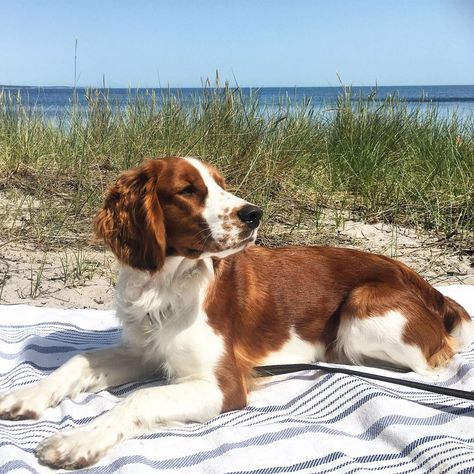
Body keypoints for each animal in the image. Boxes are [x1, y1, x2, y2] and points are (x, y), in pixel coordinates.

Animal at [0, 157, 472, 468]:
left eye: (221, 183)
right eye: (188, 189)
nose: (253, 213)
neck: (166, 284)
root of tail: (429, 287)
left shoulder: (223, 385)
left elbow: (141, 397)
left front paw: (78, 439)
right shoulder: (143, 352)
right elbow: (78, 361)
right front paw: (26, 396)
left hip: (361, 311)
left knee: (430, 363)